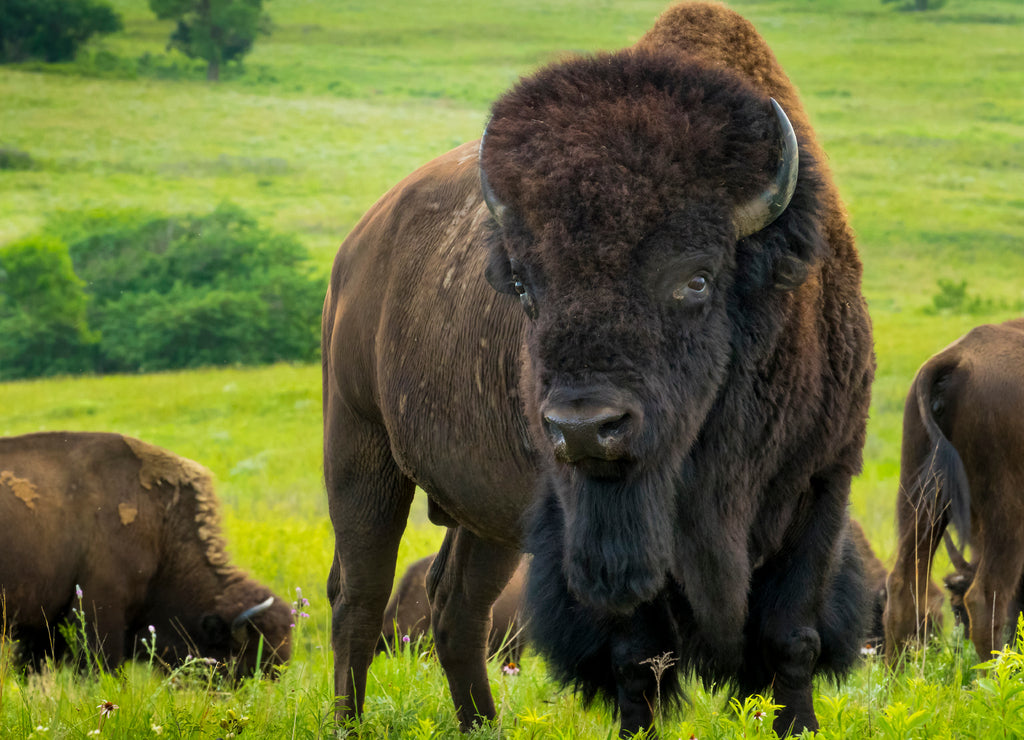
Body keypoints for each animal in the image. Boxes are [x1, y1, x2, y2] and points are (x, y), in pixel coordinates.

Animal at [323, 2, 874, 736]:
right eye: (524, 285)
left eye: (696, 278)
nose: (584, 427)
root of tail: (359, 244)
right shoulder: (599, 527)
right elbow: (637, 654)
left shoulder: (820, 484)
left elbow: (793, 637)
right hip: (361, 452)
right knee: (358, 597)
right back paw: (348, 720)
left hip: (485, 515)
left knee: (455, 605)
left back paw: (482, 723)